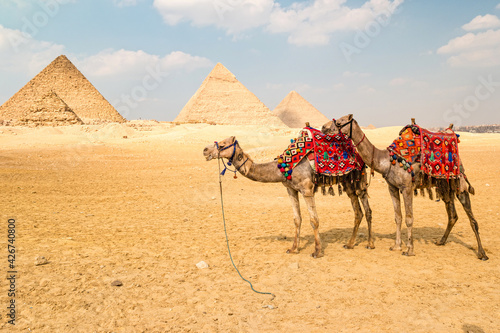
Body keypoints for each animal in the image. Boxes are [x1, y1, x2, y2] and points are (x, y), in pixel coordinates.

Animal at [203, 135, 376, 256]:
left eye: (223, 145)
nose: (205, 150)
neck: (284, 167)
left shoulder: (307, 189)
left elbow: (314, 220)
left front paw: (317, 251)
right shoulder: (291, 189)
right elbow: (297, 219)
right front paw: (293, 249)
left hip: (359, 179)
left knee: (367, 210)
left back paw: (370, 244)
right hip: (348, 183)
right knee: (358, 212)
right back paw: (350, 244)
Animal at [324, 115, 488, 260]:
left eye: (339, 122)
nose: (325, 128)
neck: (386, 161)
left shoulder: (407, 187)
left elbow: (409, 218)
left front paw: (409, 250)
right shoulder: (392, 187)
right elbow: (398, 217)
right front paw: (396, 246)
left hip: (459, 182)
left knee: (472, 219)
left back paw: (482, 254)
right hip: (445, 185)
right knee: (452, 214)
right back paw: (441, 241)